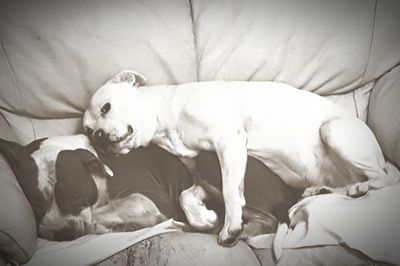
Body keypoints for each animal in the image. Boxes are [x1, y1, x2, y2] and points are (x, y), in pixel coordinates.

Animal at [83, 70, 398, 245]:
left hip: (333, 131)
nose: (97, 136)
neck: (167, 121)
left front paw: (230, 226)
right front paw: (205, 218)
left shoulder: (229, 143)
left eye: (106, 107)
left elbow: (231, 193)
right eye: (86, 130)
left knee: (381, 180)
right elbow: (186, 197)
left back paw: (359, 187)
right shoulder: (201, 174)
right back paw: (320, 190)